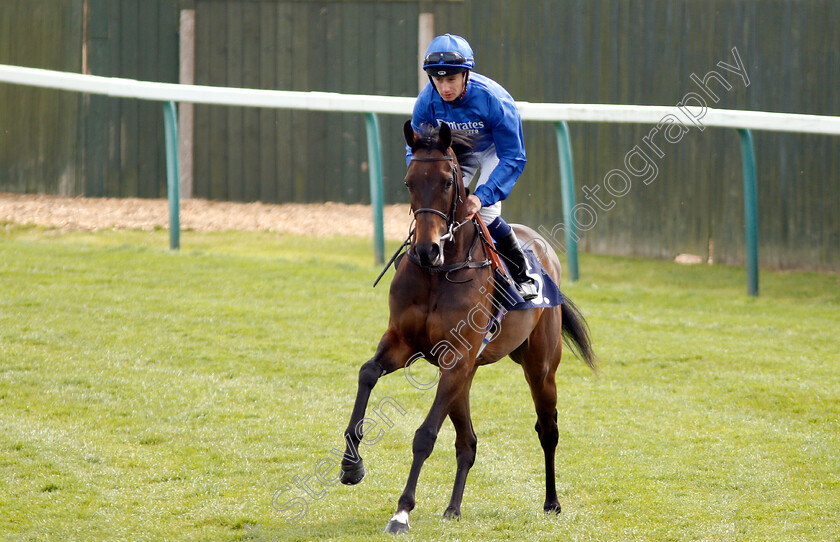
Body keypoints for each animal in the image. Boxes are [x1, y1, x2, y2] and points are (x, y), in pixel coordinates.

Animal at [338, 120, 592, 536]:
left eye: (446, 181)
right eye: (408, 181)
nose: (426, 249)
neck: (439, 272)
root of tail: (544, 248)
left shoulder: (456, 358)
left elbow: (425, 435)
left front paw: (402, 512)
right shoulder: (405, 343)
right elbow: (368, 373)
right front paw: (350, 464)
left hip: (538, 366)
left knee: (547, 429)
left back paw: (552, 502)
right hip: (465, 374)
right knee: (468, 442)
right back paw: (453, 508)